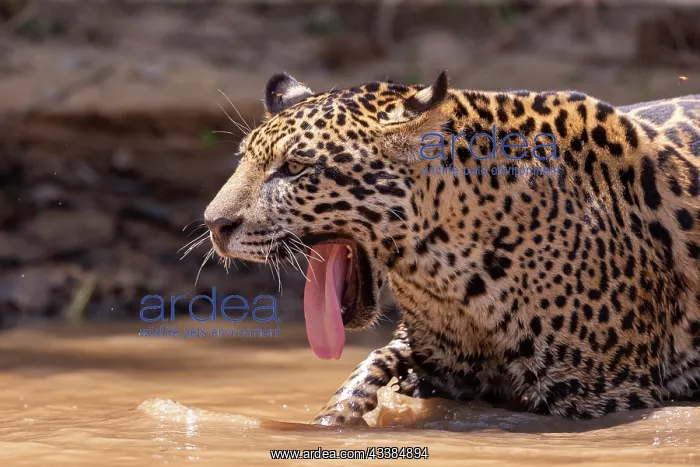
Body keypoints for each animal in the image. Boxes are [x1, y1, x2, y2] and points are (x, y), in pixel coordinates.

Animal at [204, 70, 700, 426]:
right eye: (243, 159)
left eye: (294, 167)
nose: (213, 224)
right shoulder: (441, 365)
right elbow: (372, 368)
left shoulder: (603, 395)